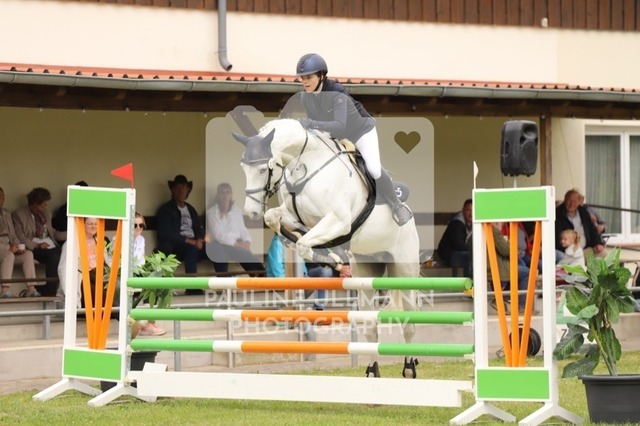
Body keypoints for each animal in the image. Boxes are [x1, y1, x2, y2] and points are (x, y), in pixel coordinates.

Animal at [233, 118, 420, 374]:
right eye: (243, 168)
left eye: (264, 169)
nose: (250, 213)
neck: (304, 165)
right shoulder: (297, 216)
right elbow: (276, 219)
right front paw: (325, 252)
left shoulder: (339, 221)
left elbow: (305, 243)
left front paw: (331, 258)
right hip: (367, 272)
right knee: (370, 325)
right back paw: (373, 370)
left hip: (404, 270)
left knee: (409, 322)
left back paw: (409, 367)